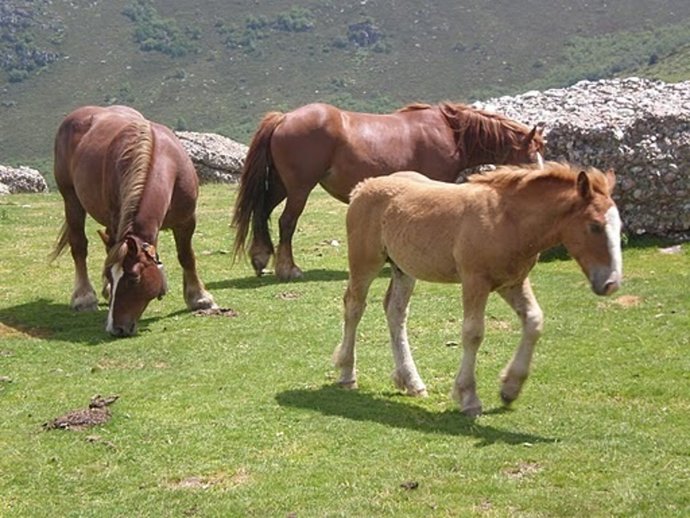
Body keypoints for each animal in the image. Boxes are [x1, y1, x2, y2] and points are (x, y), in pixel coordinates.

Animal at [50, 105, 217, 337]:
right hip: (71, 198)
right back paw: (84, 297)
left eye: (134, 278)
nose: (115, 328)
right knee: (79, 246)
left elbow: (186, 256)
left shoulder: (186, 220)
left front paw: (200, 298)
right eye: (113, 276)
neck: (164, 160)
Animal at [232, 101, 545, 281]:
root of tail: (284, 118)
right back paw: (288, 269)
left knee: (262, 212)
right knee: (286, 222)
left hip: (282, 185)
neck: (450, 132)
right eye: (531, 154)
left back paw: (260, 259)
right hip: (299, 188)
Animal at [333, 162, 623, 417]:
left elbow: (534, 320)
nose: (612, 283)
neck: (508, 221)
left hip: (404, 269)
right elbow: (473, 333)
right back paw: (347, 374)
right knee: (355, 306)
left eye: (618, 226)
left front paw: (510, 389)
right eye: (594, 226)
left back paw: (411, 381)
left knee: (395, 311)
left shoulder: (513, 282)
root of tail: (363, 186)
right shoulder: (475, 281)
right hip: (365, 261)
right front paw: (468, 397)